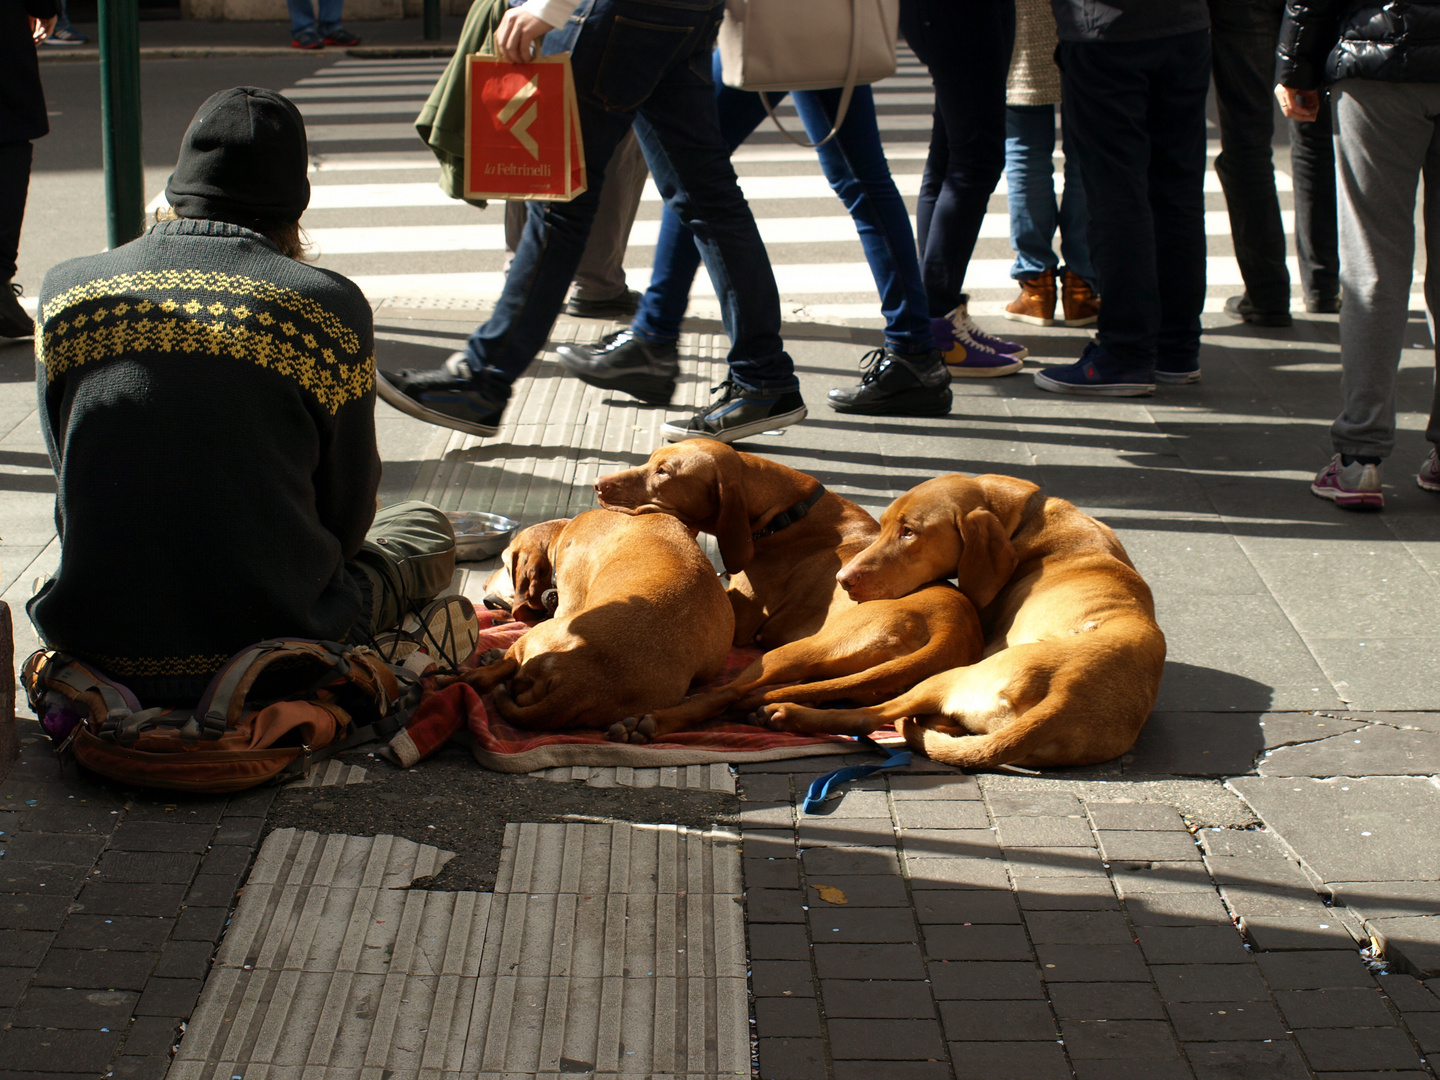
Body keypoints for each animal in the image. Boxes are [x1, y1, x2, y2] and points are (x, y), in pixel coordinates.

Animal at [457, 509, 731, 731]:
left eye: (505, 566)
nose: (483, 583)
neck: (562, 534)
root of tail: (577, 686)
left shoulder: (567, 604)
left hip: (541, 634)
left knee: (487, 675)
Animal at [590, 440, 984, 743]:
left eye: (663, 472)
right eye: (650, 460)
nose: (597, 482)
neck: (786, 512)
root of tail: (950, 630)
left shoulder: (742, 621)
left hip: (791, 652)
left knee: (724, 694)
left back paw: (652, 721)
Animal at [760, 472, 1163, 771]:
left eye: (909, 532)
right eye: (885, 525)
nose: (843, 579)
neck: (1026, 517)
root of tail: (1065, 699)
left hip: (951, 676)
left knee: (870, 717)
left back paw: (787, 713)